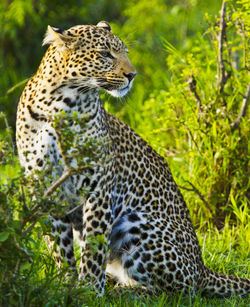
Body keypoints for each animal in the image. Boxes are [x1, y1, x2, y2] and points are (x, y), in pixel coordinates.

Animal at [16, 21, 249, 298]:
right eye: (105, 54)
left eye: (124, 52)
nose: (132, 75)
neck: (58, 105)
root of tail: (202, 268)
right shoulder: (46, 188)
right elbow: (60, 247)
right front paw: (66, 285)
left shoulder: (98, 188)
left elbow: (94, 248)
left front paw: (89, 291)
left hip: (138, 225)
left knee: (178, 291)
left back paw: (122, 291)